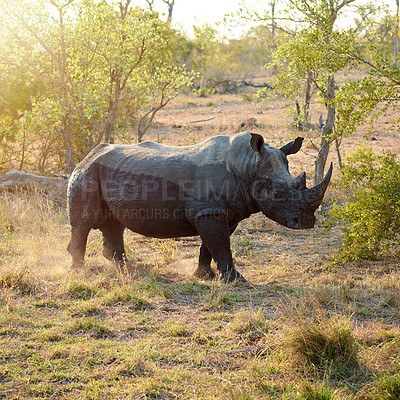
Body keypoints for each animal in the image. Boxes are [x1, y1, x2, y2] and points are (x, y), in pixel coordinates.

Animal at [68, 131, 332, 282]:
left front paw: (205, 276)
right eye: (277, 193)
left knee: (114, 223)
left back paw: (125, 267)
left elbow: (211, 245)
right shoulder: (209, 211)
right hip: (88, 172)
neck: (248, 164)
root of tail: (87, 154)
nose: (306, 222)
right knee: (85, 221)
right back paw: (79, 271)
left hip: (107, 170)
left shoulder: (219, 211)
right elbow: (221, 246)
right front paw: (236, 281)